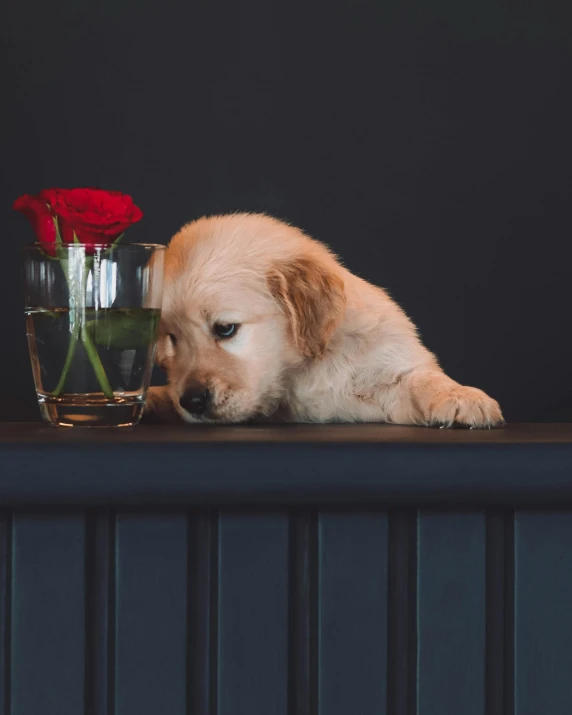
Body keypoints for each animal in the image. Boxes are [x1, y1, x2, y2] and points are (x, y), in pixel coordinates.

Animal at [145, 210, 502, 428]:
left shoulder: (387, 369)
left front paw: (461, 396)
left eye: (225, 329)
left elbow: (421, 379)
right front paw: (153, 399)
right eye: (172, 339)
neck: (304, 369)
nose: (192, 401)